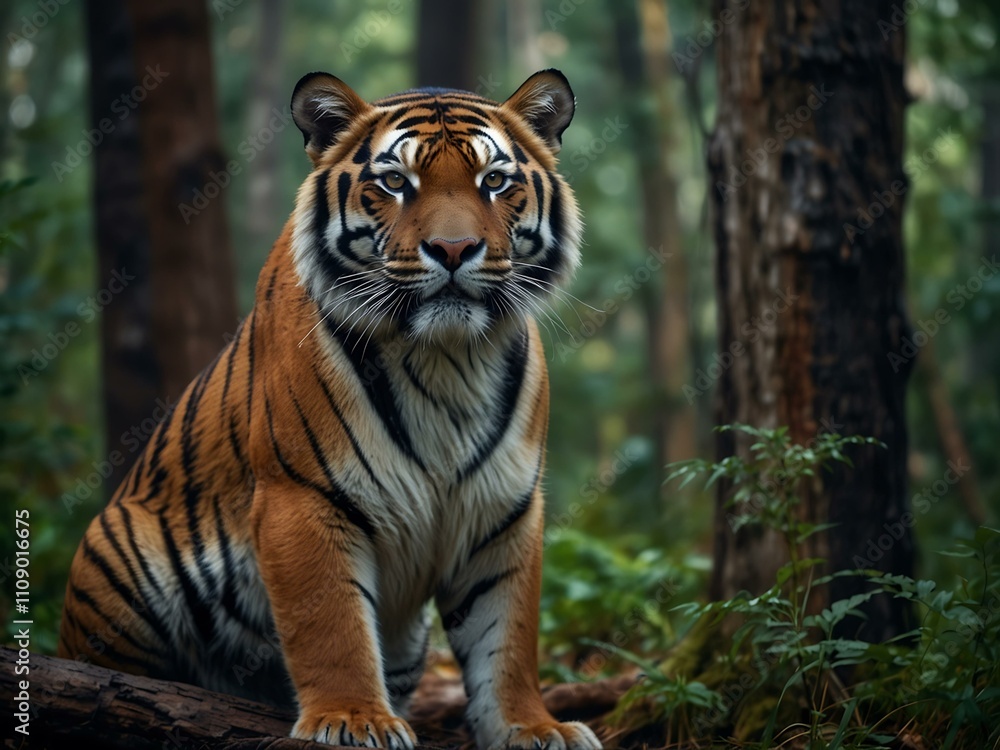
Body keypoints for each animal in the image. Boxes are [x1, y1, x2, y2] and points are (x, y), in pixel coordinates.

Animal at [58, 68, 600, 750]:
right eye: (395, 182)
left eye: (494, 181)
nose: (454, 249)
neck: (447, 358)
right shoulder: (304, 496)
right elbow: (331, 623)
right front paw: (353, 720)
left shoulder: (504, 510)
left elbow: (509, 635)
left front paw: (534, 726)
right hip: (116, 553)